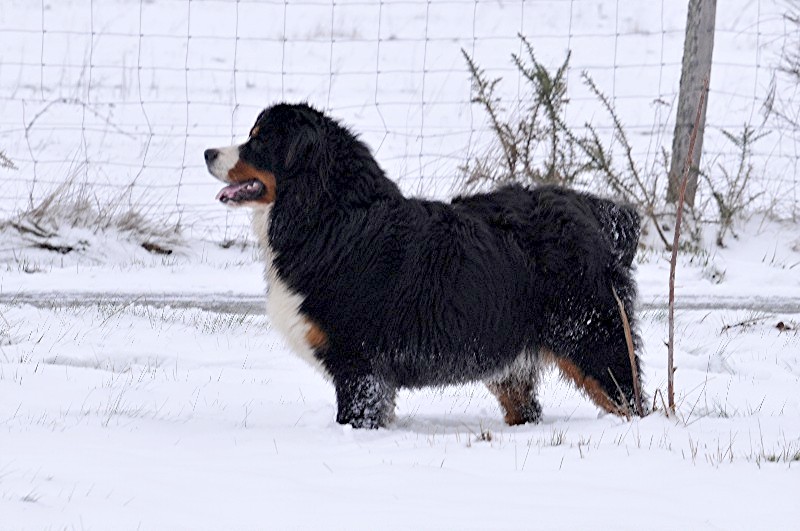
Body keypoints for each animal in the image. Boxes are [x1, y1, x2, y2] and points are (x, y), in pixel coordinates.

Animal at [206, 102, 644, 430]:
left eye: (259, 139)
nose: (208, 152)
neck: (330, 218)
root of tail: (597, 210)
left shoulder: (359, 366)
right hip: (508, 359)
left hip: (593, 341)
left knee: (631, 401)